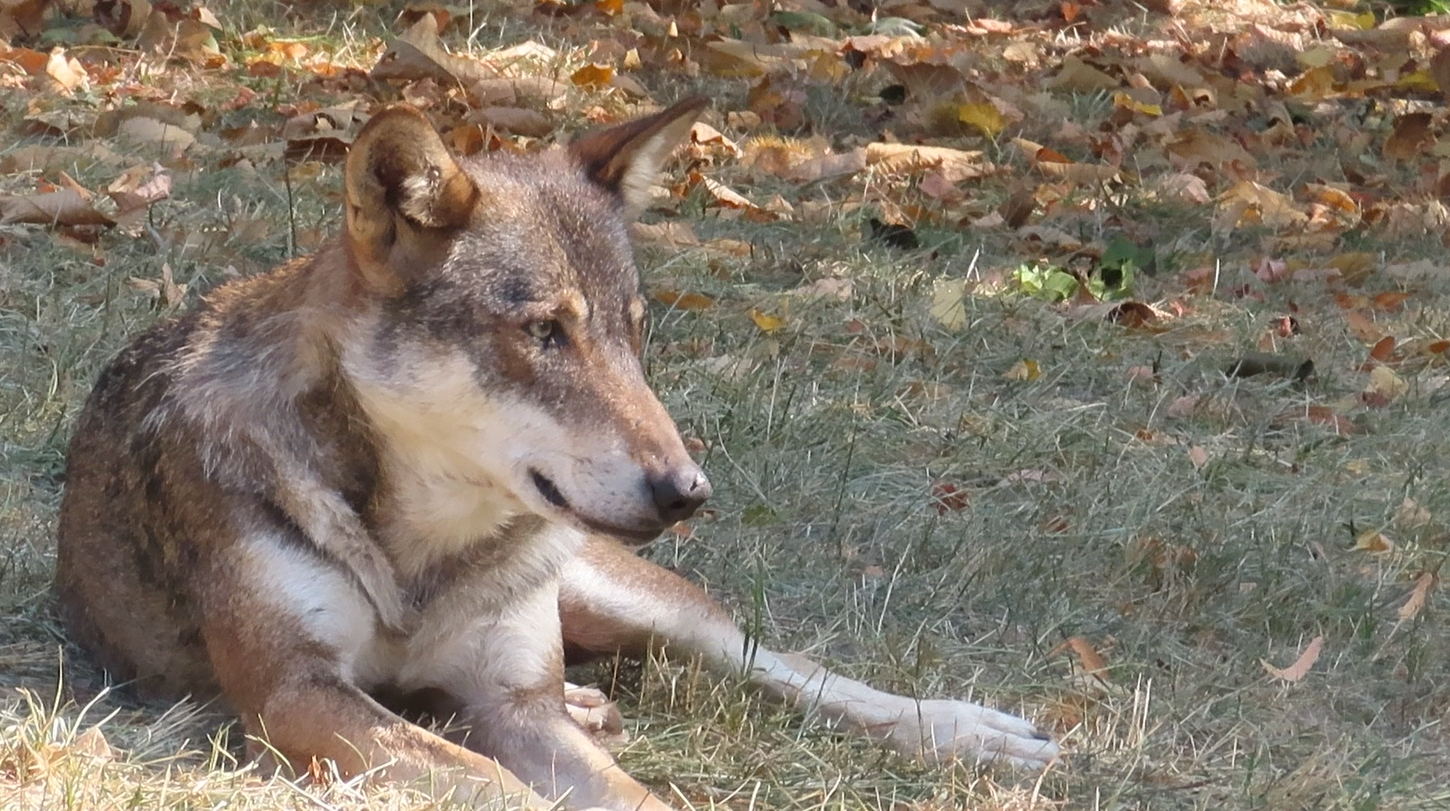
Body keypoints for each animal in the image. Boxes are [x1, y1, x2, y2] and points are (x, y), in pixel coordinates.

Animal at [55, 98, 1058, 811]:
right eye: (545, 333)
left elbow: (640, 794)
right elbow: (494, 785)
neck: (424, 555)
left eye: (635, 332)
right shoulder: (297, 693)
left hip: (623, 595)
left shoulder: (507, 701)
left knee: (779, 665)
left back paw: (977, 732)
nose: (689, 489)